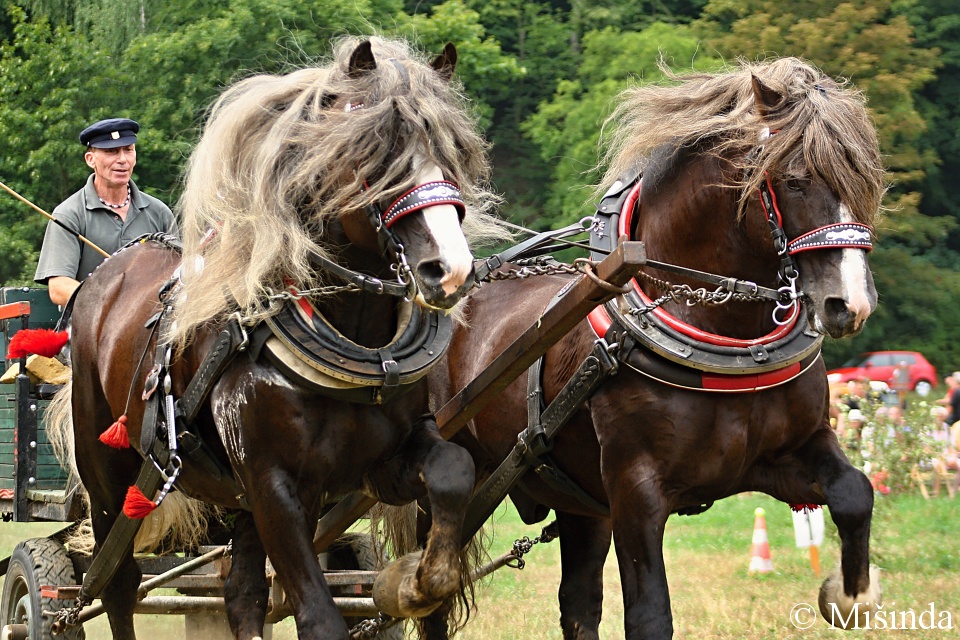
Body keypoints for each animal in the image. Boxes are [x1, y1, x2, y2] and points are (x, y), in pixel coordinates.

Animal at [54, 37, 502, 636]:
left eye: (453, 151)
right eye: (374, 152)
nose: (449, 270)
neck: (352, 342)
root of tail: (108, 273)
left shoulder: (377, 466)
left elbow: (453, 469)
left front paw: (415, 582)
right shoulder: (275, 485)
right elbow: (318, 616)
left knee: (240, 593)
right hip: (109, 478)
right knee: (116, 584)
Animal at [428, 57, 884, 636]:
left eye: (867, 179)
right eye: (797, 180)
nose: (851, 303)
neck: (726, 336)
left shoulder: (786, 455)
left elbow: (855, 492)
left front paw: (851, 595)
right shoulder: (634, 491)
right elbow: (649, 615)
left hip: (581, 507)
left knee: (578, 604)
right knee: (429, 582)